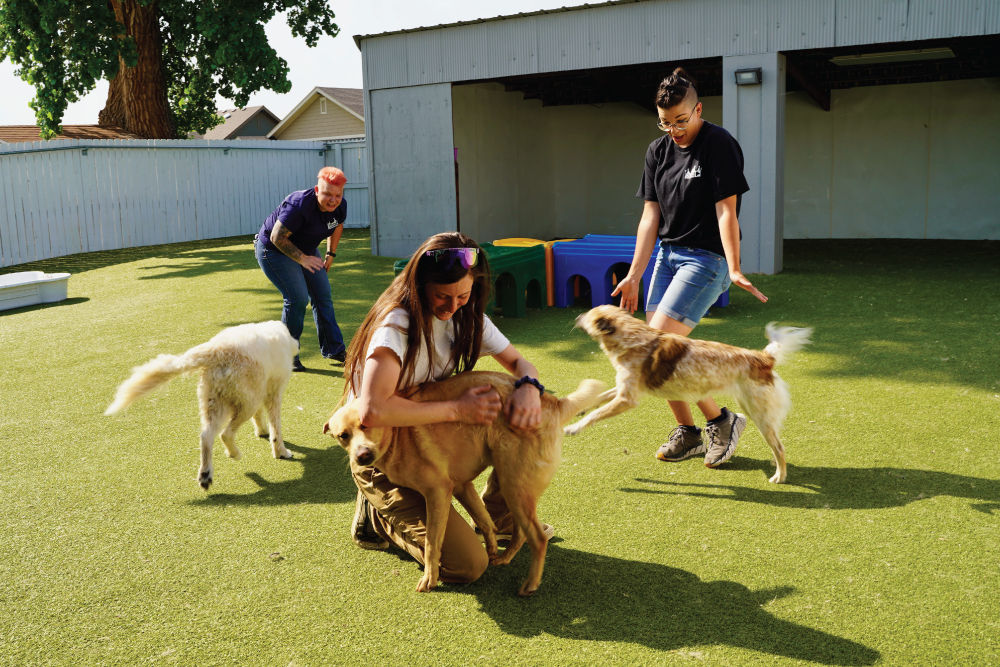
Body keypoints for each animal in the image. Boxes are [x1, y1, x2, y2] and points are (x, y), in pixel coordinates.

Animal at [107, 320, 300, 488]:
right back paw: (234, 454)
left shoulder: (262, 391)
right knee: (225, 434)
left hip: (215, 402)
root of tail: (216, 350)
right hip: (244, 402)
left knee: (206, 436)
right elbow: (276, 429)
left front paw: (261, 431)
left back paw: (206, 475)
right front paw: (281, 452)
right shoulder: (273, 394)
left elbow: (260, 417)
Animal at [322, 370, 600, 596]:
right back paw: (505, 558)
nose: (362, 455)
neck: (399, 436)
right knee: (522, 532)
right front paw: (491, 549)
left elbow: (432, 543)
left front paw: (430, 578)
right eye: (343, 436)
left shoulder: (437, 493)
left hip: (514, 485)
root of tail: (552, 402)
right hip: (510, 482)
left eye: (366, 424)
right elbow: (484, 520)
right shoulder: (461, 486)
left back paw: (530, 584)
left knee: (538, 539)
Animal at [564, 306, 812, 482]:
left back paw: (780, 476)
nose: (576, 316)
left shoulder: (627, 399)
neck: (631, 338)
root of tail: (764, 358)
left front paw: (573, 428)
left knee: (779, 447)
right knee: (776, 444)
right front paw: (579, 409)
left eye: (588, 315)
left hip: (759, 414)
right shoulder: (626, 389)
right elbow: (598, 399)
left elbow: (595, 415)